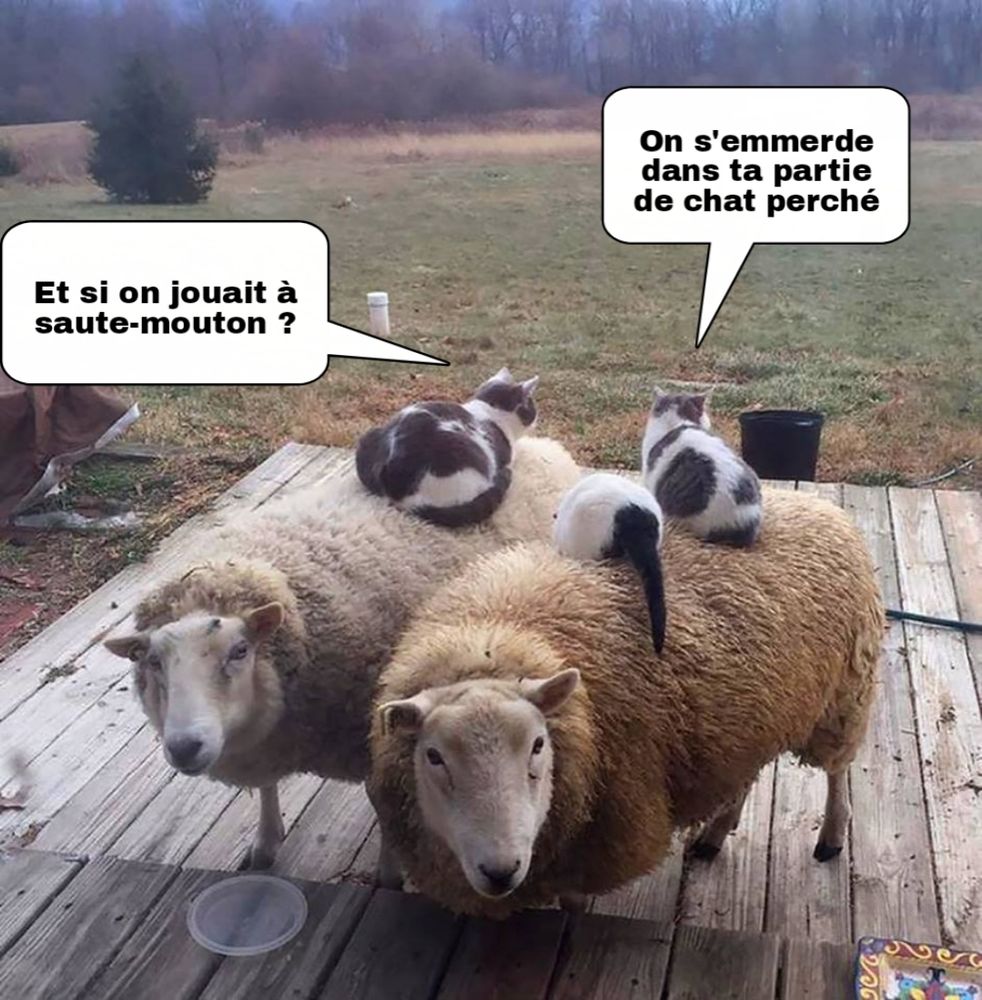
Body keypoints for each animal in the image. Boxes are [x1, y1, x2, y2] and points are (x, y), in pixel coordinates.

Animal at [104, 435, 580, 869]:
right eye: (153, 662)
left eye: (239, 651)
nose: (185, 747)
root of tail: (544, 445)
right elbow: (267, 789)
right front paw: (265, 842)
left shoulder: (371, 733)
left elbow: (383, 804)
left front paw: (389, 871)